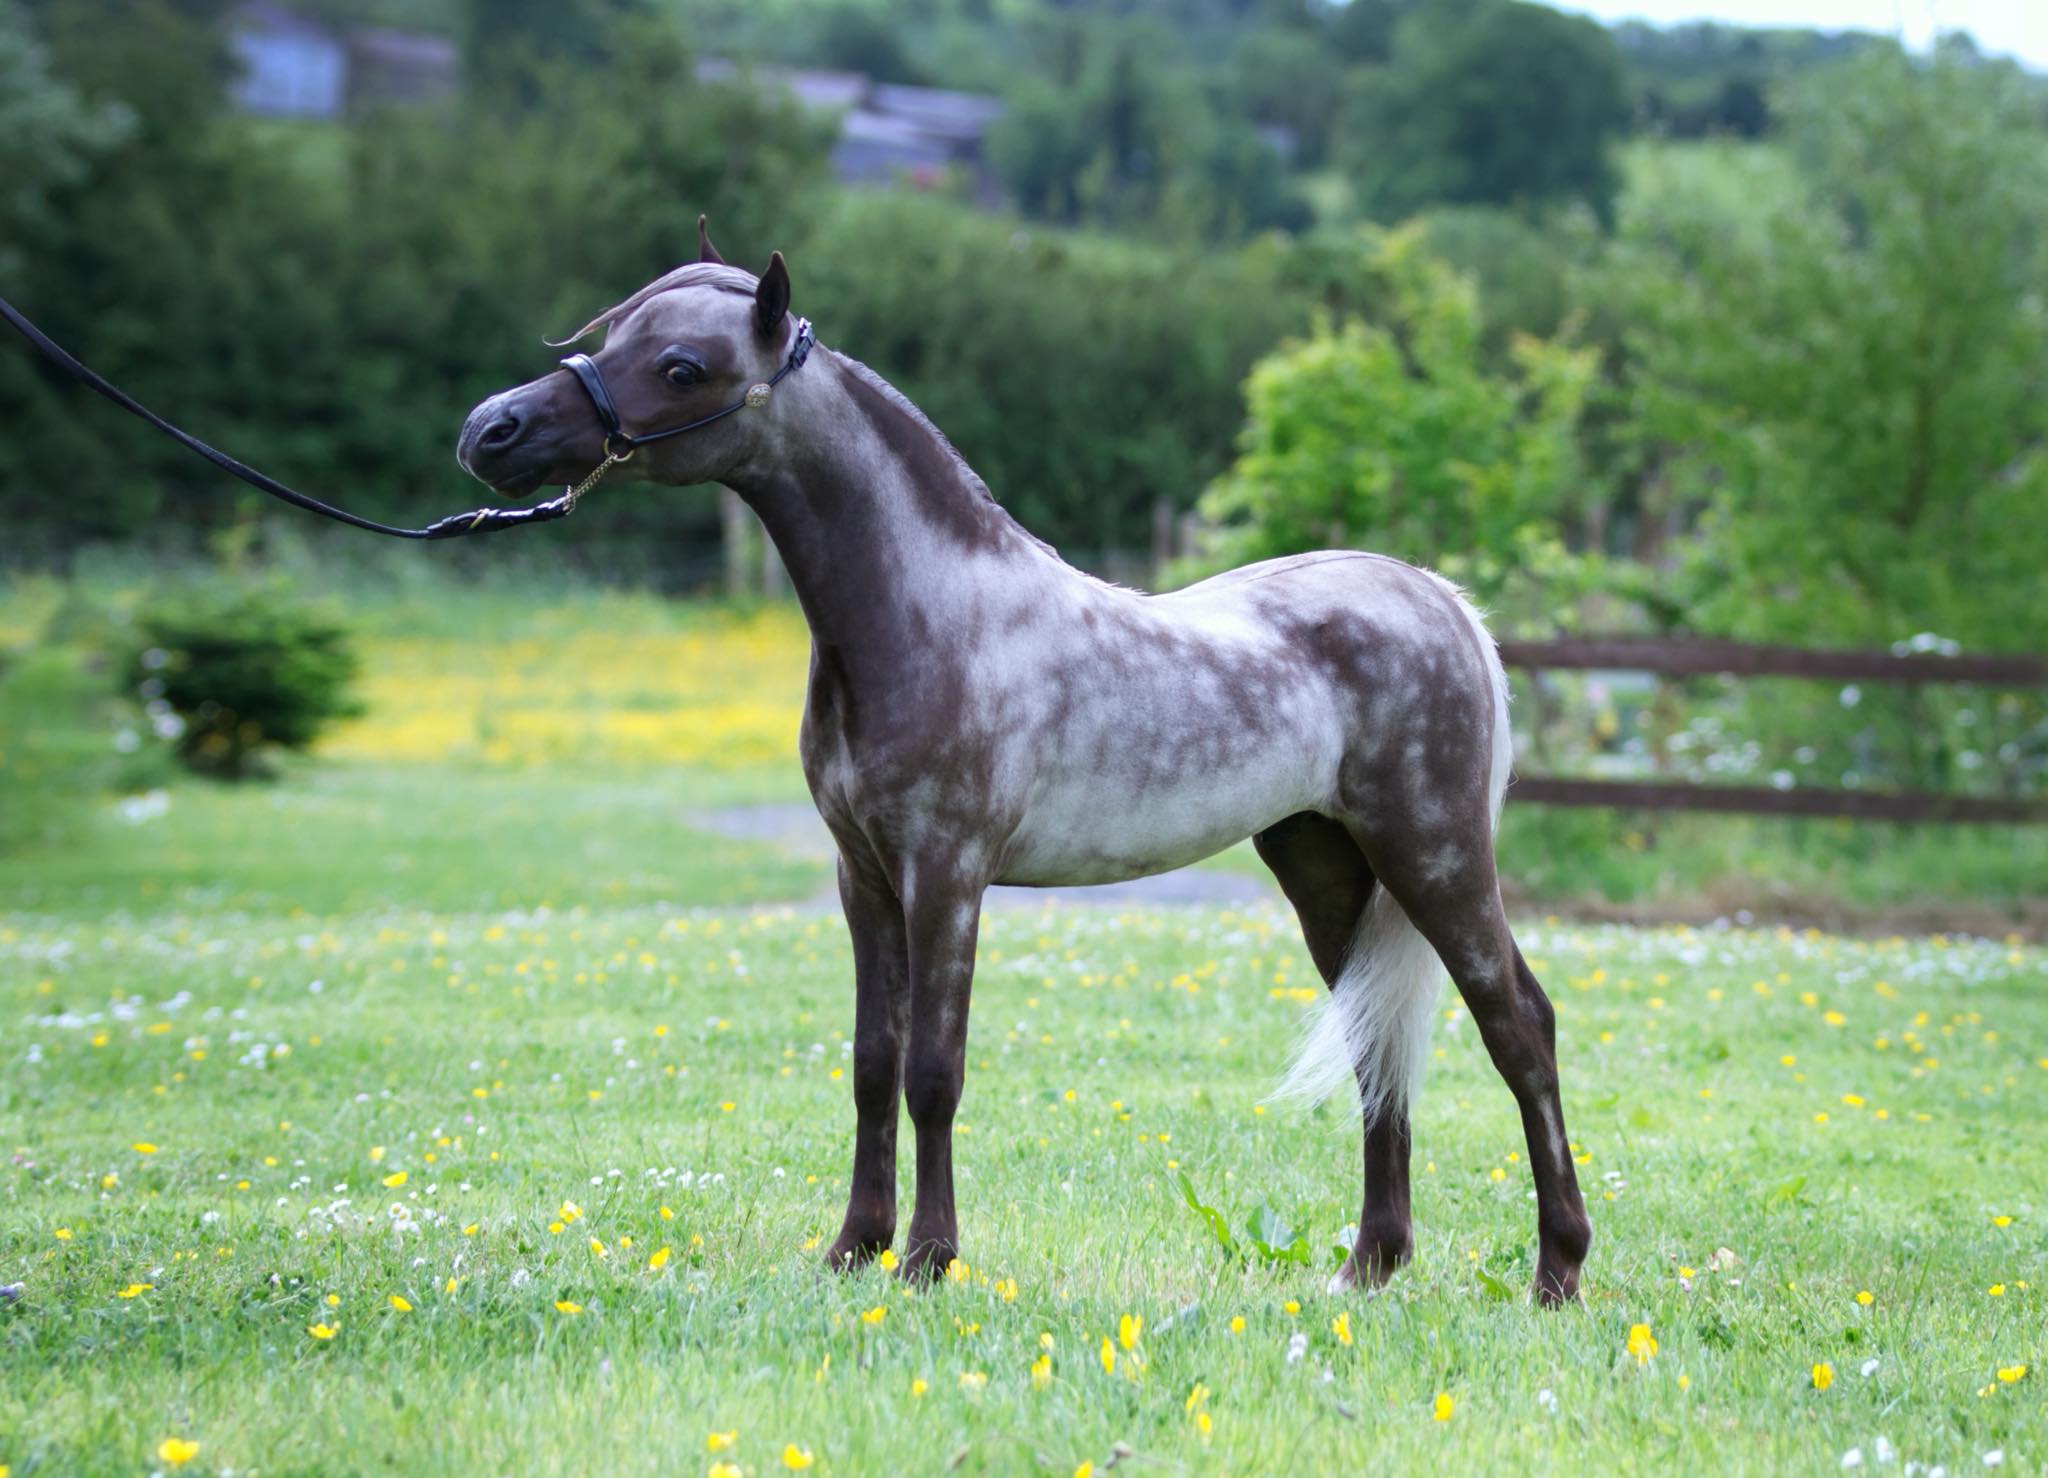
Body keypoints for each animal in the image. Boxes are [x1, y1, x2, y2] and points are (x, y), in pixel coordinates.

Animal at [456, 234, 1593, 1304]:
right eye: (611, 335)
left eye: (681, 365)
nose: (489, 432)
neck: (928, 613)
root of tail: (1440, 599)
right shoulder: (862, 878)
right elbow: (871, 1064)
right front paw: (852, 1247)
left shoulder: (947, 873)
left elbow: (932, 1070)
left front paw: (925, 1258)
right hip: (1324, 867)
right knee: (1374, 1042)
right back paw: (1367, 1268)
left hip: (1433, 854)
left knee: (1519, 1026)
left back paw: (1556, 1272)